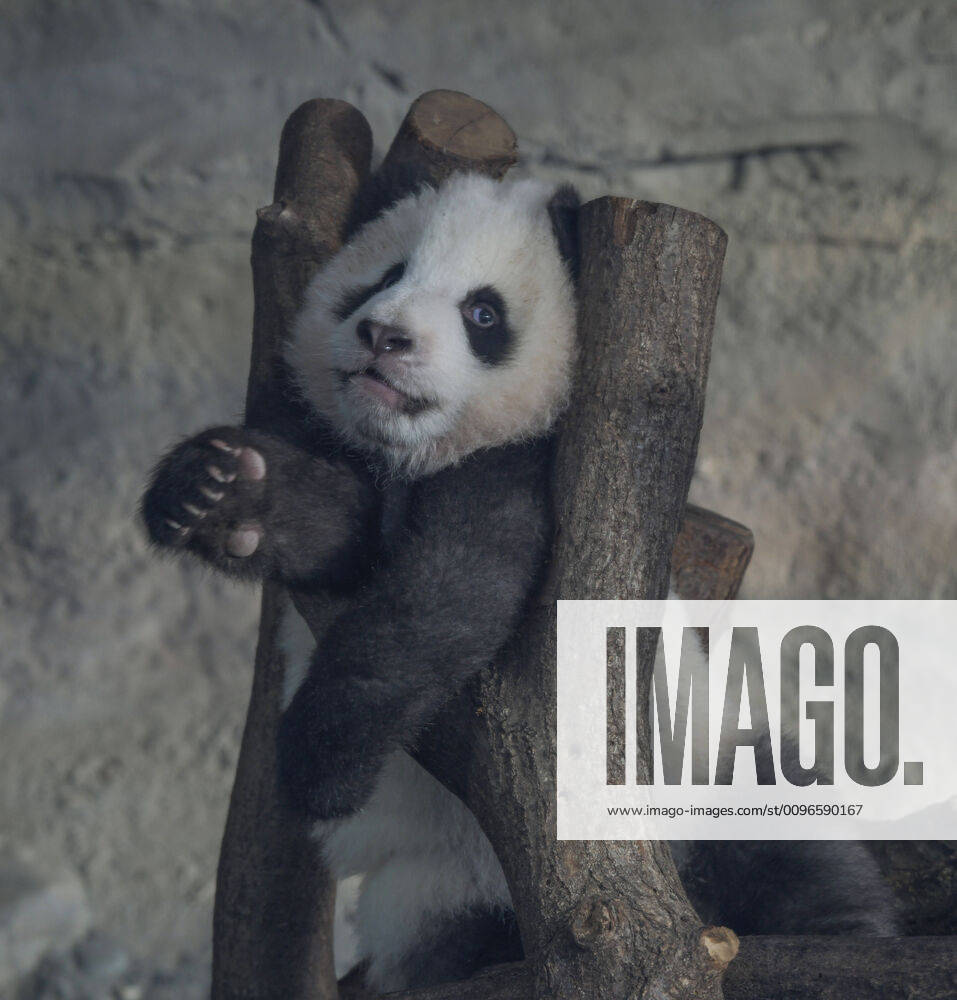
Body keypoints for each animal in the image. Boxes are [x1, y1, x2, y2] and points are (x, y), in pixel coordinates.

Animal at [141, 173, 897, 993]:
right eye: (383, 277)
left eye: (482, 313)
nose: (383, 335)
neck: (422, 452)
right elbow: (337, 529)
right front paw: (218, 496)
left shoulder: (522, 474)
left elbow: (445, 596)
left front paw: (322, 759)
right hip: (426, 898)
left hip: (702, 777)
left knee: (780, 834)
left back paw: (838, 938)